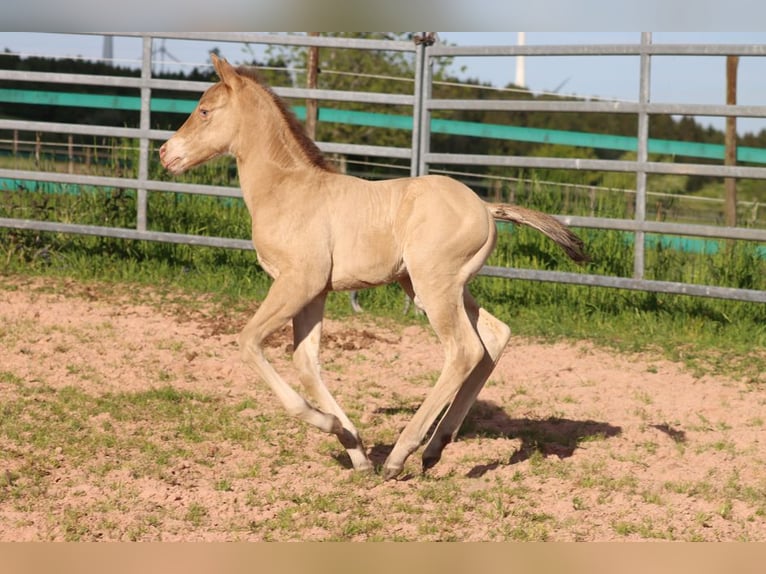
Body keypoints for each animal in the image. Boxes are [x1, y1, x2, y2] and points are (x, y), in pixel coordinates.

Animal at [159, 54, 588, 480]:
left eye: (204, 111)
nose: (165, 153)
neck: (287, 190)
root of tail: (484, 207)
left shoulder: (298, 281)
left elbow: (249, 341)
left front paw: (331, 426)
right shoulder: (315, 291)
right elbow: (306, 361)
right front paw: (354, 447)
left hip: (433, 287)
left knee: (464, 350)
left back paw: (401, 456)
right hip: (439, 286)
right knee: (494, 337)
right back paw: (434, 448)